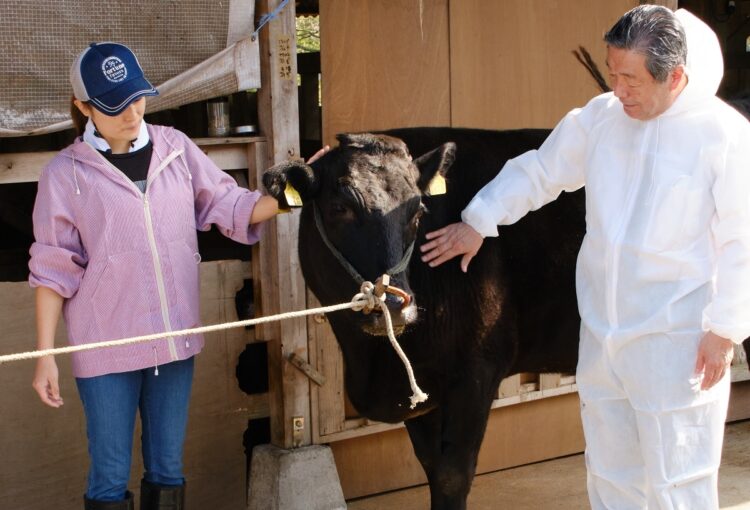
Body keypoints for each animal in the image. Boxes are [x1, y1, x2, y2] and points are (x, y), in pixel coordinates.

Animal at [264, 128, 588, 510]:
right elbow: (431, 466)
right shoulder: (419, 386)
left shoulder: (478, 371)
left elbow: (452, 475)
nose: (394, 305)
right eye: (339, 208)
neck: (373, 362)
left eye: (417, 211)